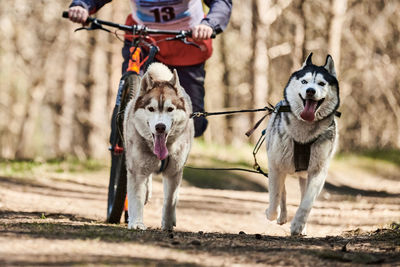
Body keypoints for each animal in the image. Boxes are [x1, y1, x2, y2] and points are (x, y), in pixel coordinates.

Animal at [124, 62, 195, 230]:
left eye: (170, 109)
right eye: (151, 109)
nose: (160, 127)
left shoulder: (174, 171)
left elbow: (170, 200)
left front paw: (167, 224)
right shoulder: (136, 170)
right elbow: (136, 196)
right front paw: (136, 222)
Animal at [268, 53, 340, 236]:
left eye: (321, 83)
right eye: (304, 82)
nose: (310, 91)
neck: (304, 135)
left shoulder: (318, 171)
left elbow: (307, 202)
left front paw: (298, 225)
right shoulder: (275, 166)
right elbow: (275, 195)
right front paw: (272, 213)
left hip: (304, 175)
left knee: (301, 194)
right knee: (282, 191)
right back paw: (281, 216)